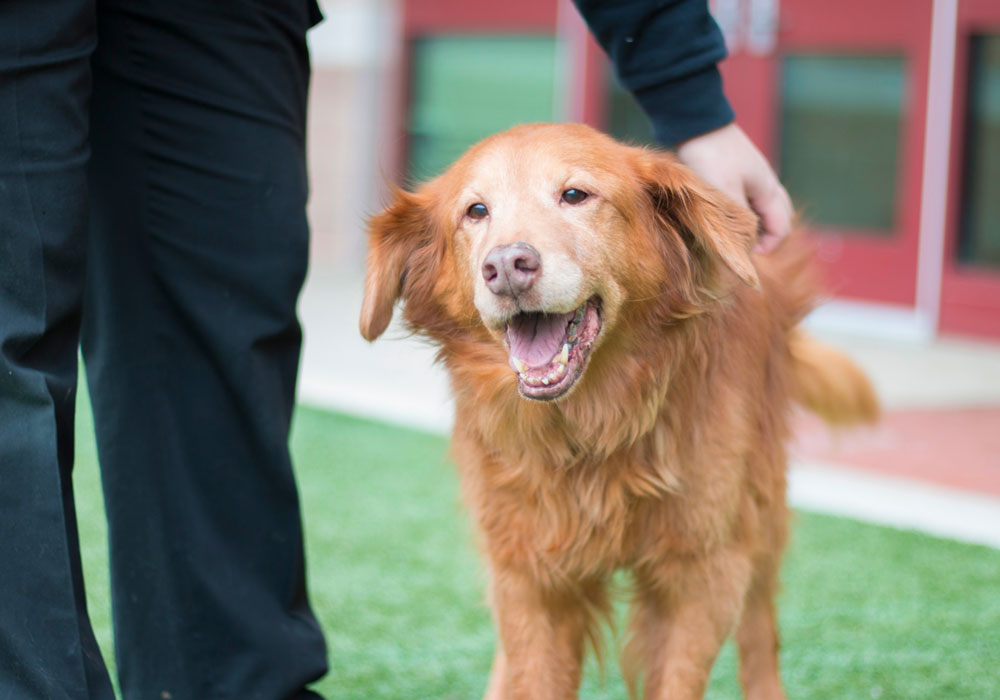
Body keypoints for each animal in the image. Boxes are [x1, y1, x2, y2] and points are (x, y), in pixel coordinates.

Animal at [360, 123, 876, 696]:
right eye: (476, 211)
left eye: (574, 195)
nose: (507, 266)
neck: (595, 426)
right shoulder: (529, 570)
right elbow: (532, 669)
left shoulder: (703, 569)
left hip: (758, 509)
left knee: (761, 628)